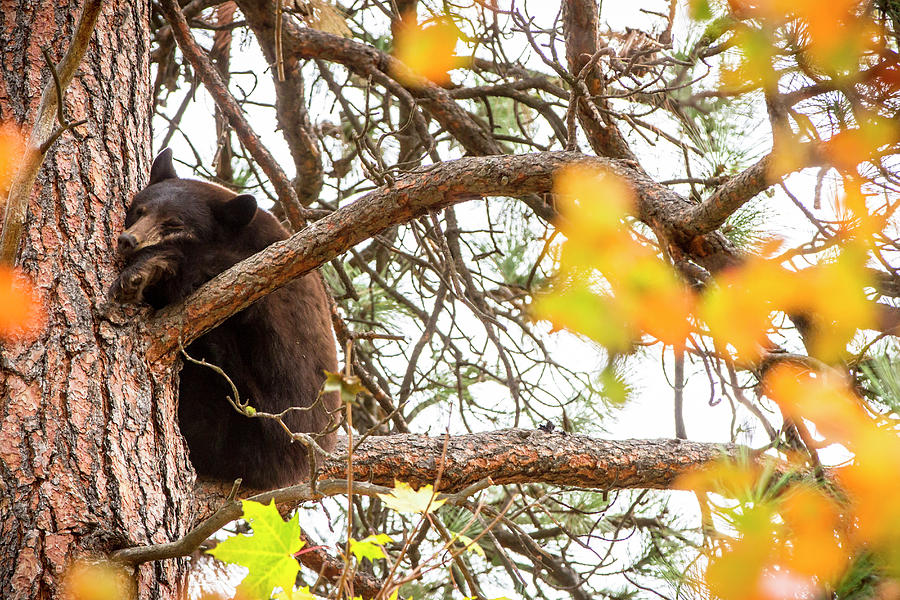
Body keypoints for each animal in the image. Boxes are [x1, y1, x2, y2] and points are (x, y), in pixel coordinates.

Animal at [110, 149, 340, 488]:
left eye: (174, 222)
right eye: (139, 210)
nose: (129, 240)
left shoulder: (271, 282)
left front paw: (150, 268)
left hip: (251, 421)